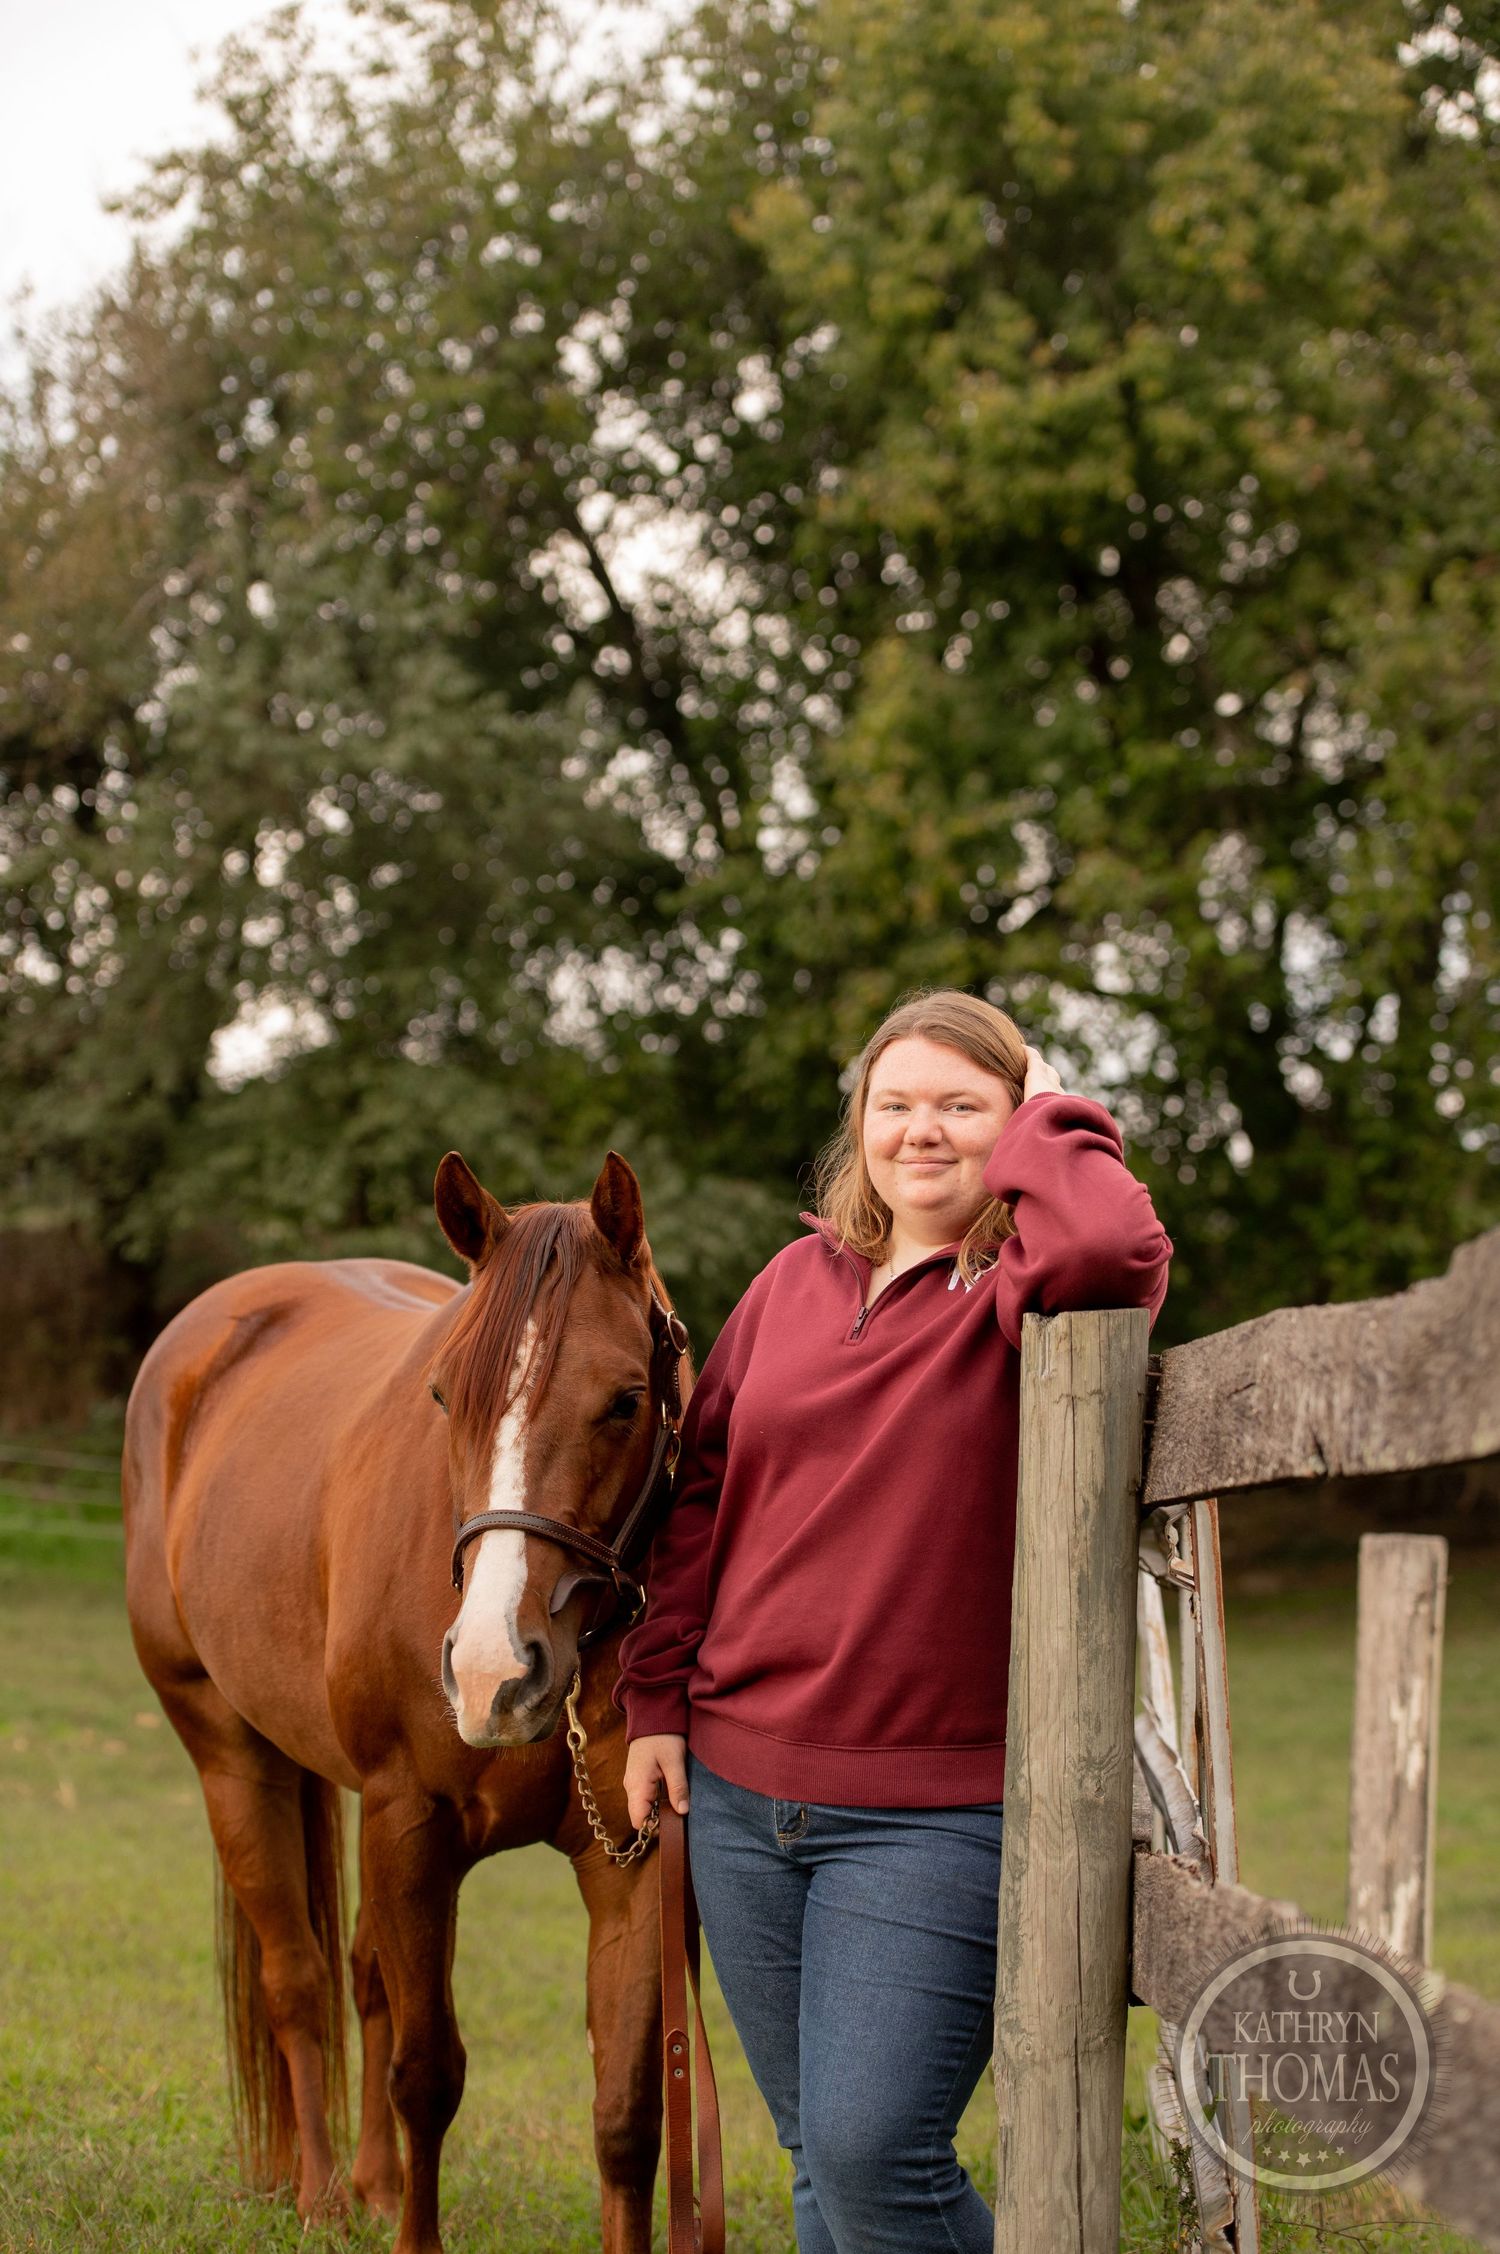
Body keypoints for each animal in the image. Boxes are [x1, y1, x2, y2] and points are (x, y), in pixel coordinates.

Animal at [122, 1148, 691, 2254]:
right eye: (442, 1394)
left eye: (625, 1398)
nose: (493, 1673)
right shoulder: (411, 1823)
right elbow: (427, 2075)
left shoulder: (628, 1859)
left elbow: (627, 2107)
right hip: (229, 1755)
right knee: (298, 1979)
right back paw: (320, 2194)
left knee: (362, 1974)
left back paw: (375, 2186)